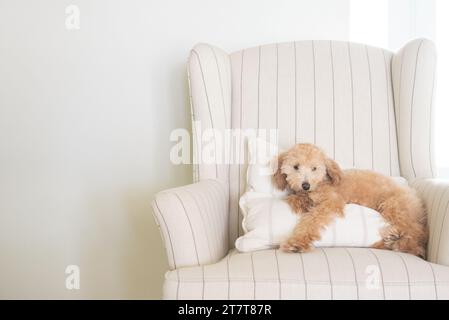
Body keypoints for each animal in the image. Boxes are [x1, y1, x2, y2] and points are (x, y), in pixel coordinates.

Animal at [272, 143, 428, 258]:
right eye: (295, 167)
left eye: (314, 168)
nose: (305, 185)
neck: (322, 182)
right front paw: (299, 200)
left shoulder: (331, 203)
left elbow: (311, 221)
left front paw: (297, 243)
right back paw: (393, 239)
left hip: (394, 206)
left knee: (418, 233)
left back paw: (401, 243)